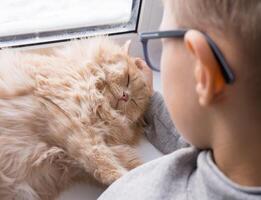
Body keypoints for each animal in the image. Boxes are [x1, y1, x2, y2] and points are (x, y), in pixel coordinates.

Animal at [0, 37, 149, 200]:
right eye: (128, 79)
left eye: (134, 101)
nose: (125, 96)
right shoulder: (66, 122)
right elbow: (101, 160)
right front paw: (124, 178)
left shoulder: (75, 164)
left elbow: (113, 163)